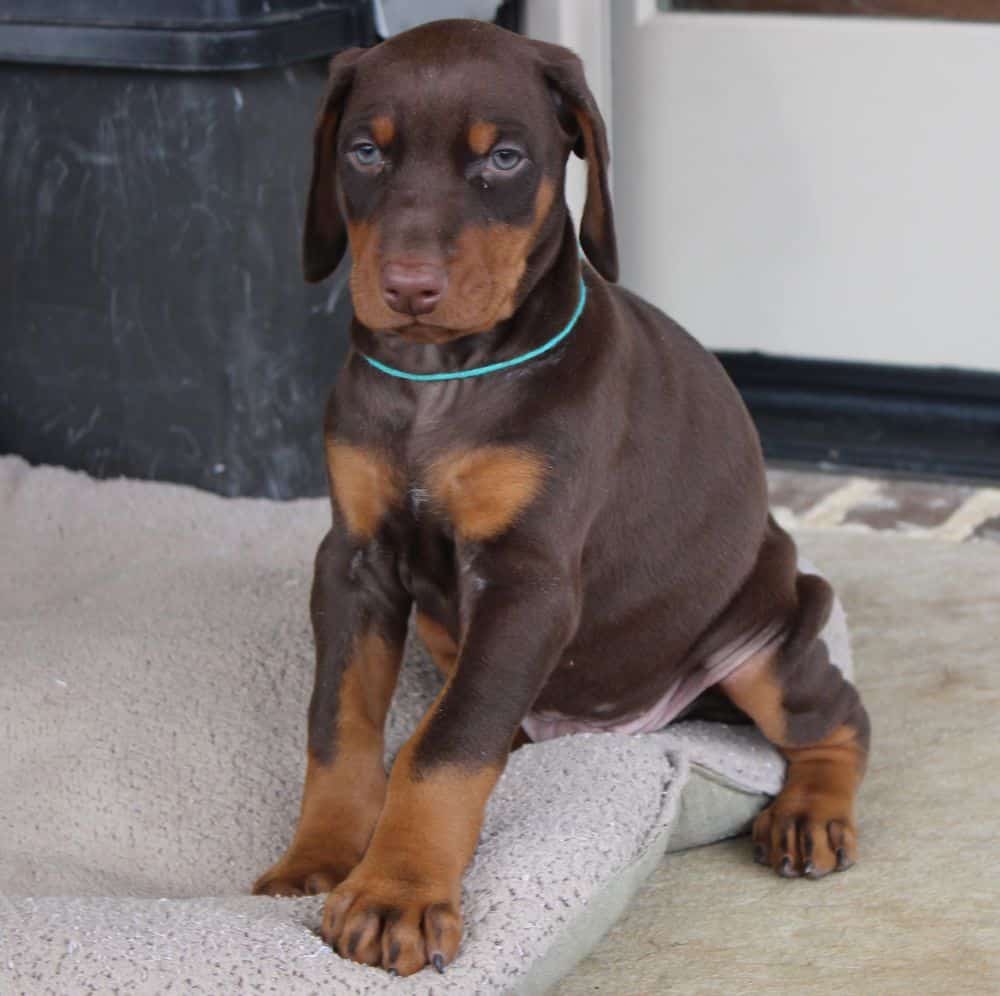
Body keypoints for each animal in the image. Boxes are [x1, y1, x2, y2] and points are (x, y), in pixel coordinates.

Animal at [254, 19, 872, 976]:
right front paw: (319, 856)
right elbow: (340, 721)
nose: (408, 288)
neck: (444, 377)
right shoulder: (352, 560)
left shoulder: (529, 582)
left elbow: (446, 749)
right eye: (364, 151)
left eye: (504, 158)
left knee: (836, 719)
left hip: (766, 636)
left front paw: (397, 893)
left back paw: (809, 814)